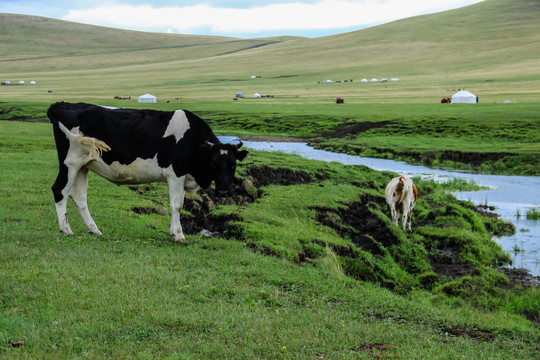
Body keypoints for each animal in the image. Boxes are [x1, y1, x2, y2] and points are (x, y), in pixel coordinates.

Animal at [48, 101, 247, 242]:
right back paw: (66, 230)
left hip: (84, 165)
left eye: (233, 165)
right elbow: (177, 204)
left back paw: (94, 230)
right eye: (214, 164)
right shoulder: (176, 174)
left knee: (79, 197)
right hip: (70, 162)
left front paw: (173, 232)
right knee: (60, 190)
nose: (223, 192)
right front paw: (178, 235)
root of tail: (62, 104)